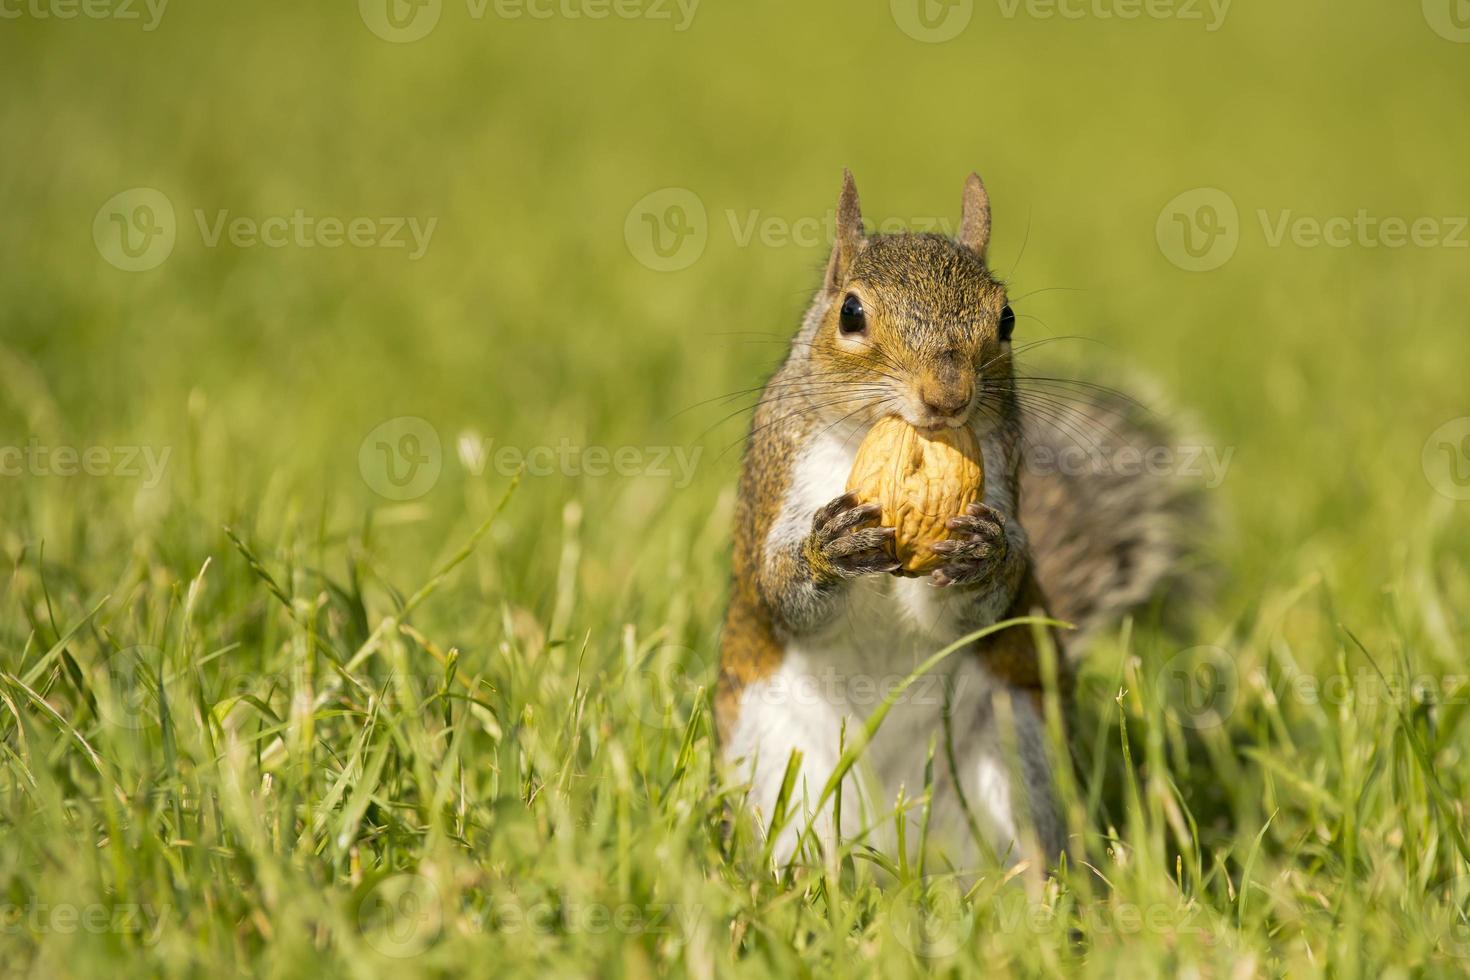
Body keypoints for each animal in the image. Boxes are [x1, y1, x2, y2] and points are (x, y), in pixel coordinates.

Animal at [714, 172, 1205, 869]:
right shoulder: (776, 480)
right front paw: (826, 550)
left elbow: (972, 609)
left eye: (1006, 318)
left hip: (1015, 752)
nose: (948, 398)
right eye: (850, 313)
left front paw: (985, 554)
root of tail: (895, 843)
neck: (877, 435)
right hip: (775, 762)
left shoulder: (999, 478)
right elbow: (781, 589)